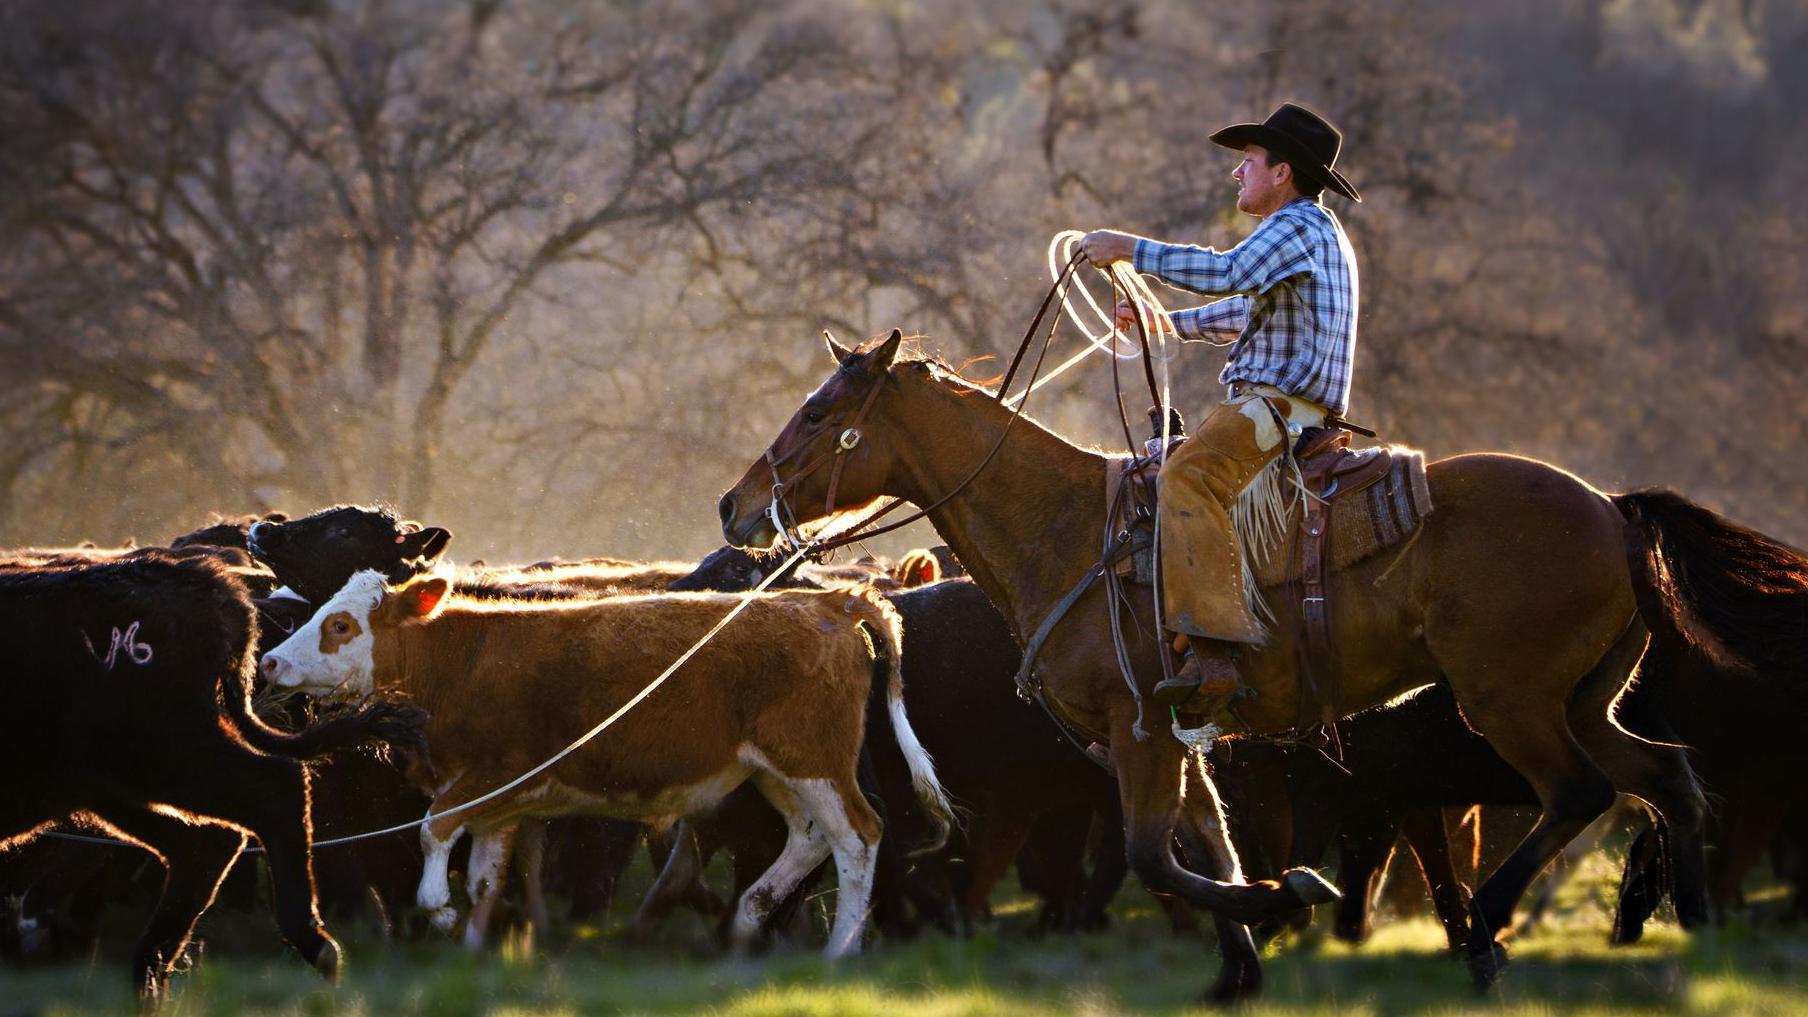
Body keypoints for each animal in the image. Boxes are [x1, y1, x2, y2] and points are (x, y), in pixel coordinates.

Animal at [0, 552, 423, 1005]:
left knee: (275, 789)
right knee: (206, 841)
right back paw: (151, 975)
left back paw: (315, 945)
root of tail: (199, 580)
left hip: (166, 760)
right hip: (118, 786)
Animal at [258, 570, 954, 957]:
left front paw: (442, 911)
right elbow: (484, 879)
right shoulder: (498, 807)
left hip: (813, 759)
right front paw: (473, 949)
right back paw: (749, 919)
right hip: (775, 771)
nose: (270, 662)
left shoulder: (496, 776)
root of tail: (831, 602)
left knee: (858, 837)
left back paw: (839, 950)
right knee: (811, 838)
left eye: (341, 625)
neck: (466, 660)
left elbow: (433, 832)